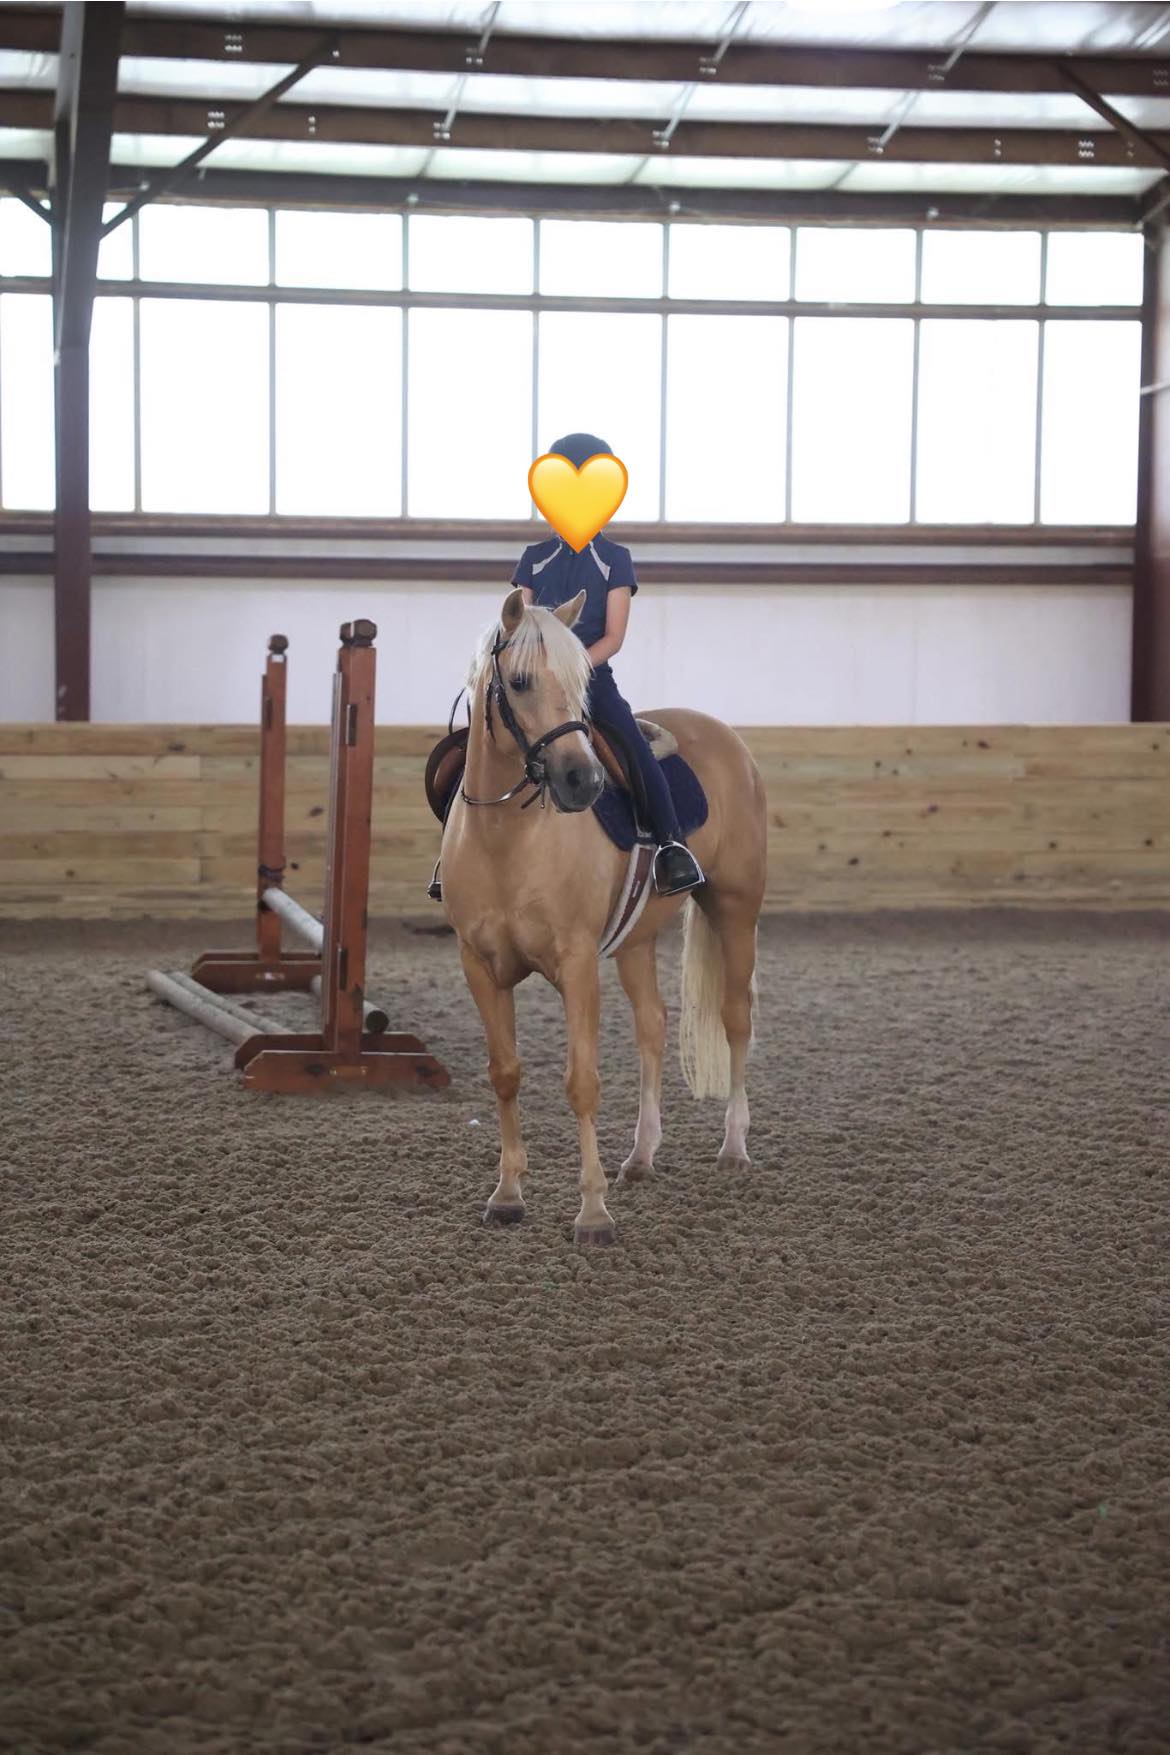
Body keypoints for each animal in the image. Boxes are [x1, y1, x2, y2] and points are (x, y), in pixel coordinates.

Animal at [439, 586, 767, 1245]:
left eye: (581, 685)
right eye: (518, 682)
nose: (581, 779)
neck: (505, 839)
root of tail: (729, 739)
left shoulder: (576, 963)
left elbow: (582, 1082)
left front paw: (592, 1211)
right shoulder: (479, 966)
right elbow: (505, 1073)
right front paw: (507, 1194)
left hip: (735, 909)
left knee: (734, 1018)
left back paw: (734, 1147)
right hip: (638, 941)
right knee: (653, 1025)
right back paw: (640, 1158)